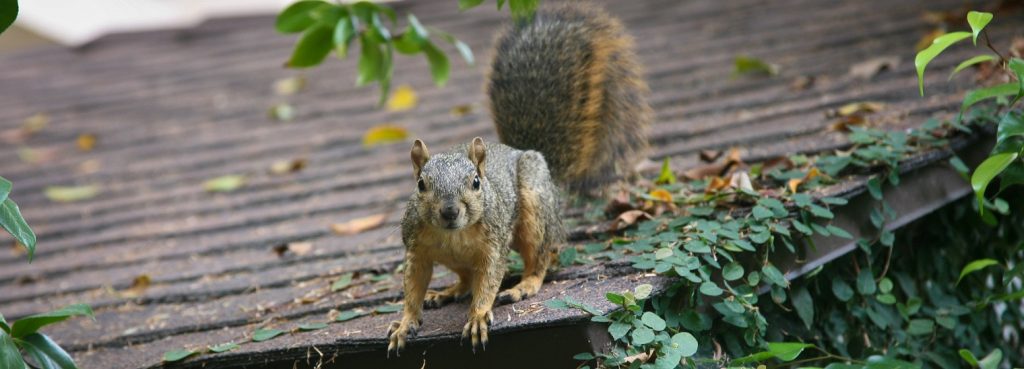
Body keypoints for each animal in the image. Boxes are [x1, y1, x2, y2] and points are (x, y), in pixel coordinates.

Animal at [385, 1, 647, 356]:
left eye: (476, 183)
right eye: (421, 185)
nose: (450, 211)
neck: (453, 235)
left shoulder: (493, 246)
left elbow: (488, 282)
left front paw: (478, 316)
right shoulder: (417, 248)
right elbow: (413, 286)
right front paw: (405, 323)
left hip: (535, 209)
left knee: (540, 259)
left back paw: (524, 285)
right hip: (457, 259)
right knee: (466, 278)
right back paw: (448, 291)